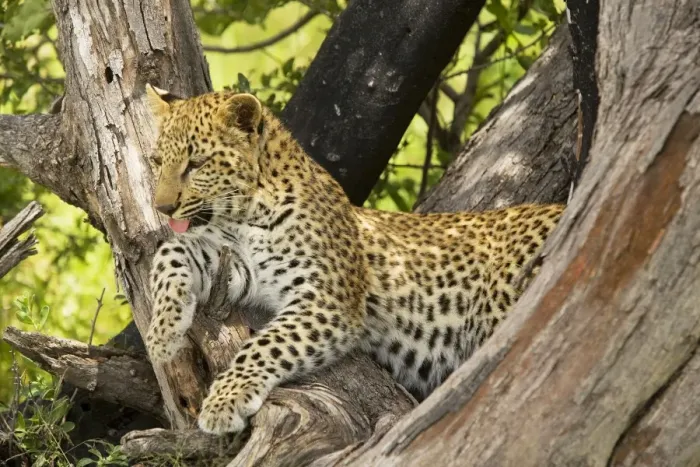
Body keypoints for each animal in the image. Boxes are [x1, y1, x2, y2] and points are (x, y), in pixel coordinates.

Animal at [143, 84, 565, 435]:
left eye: (197, 163)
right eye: (157, 161)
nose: (162, 207)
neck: (245, 215)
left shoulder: (329, 299)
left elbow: (266, 344)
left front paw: (224, 400)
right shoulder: (235, 266)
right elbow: (170, 253)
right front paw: (162, 335)